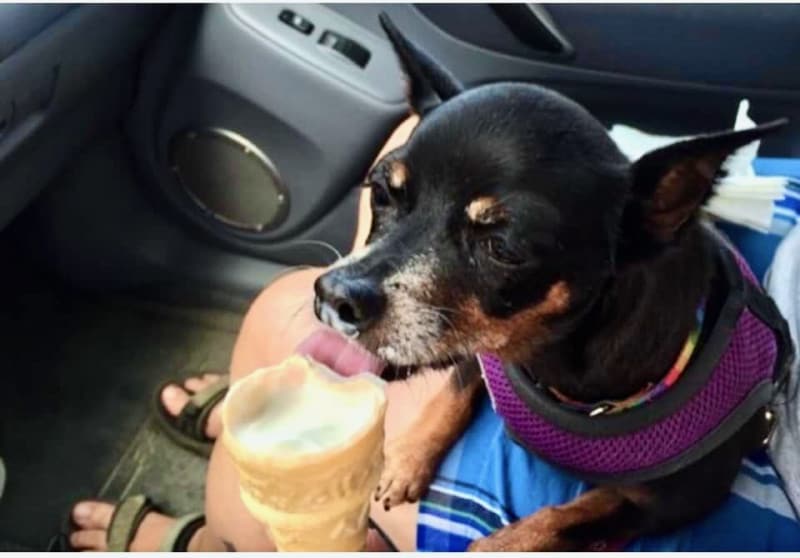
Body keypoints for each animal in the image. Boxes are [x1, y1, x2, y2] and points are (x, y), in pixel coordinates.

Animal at [310, 15, 788, 552]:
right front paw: (409, 458)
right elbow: (457, 384)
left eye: (502, 248)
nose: (336, 295)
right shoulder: (483, 352)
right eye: (382, 194)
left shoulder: (683, 496)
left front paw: (495, 544)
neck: (553, 359)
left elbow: (565, 519)